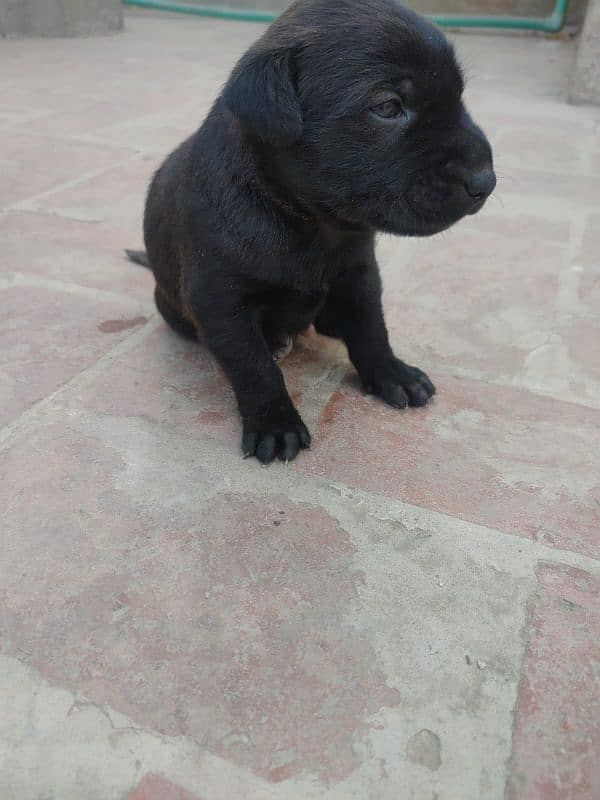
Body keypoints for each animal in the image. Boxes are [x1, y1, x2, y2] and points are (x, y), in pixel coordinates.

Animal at [127, 0, 496, 462]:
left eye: (459, 96)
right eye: (388, 107)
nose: (486, 181)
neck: (310, 222)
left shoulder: (359, 275)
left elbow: (371, 329)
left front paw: (391, 372)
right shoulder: (221, 301)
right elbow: (254, 367)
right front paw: (275, 421)